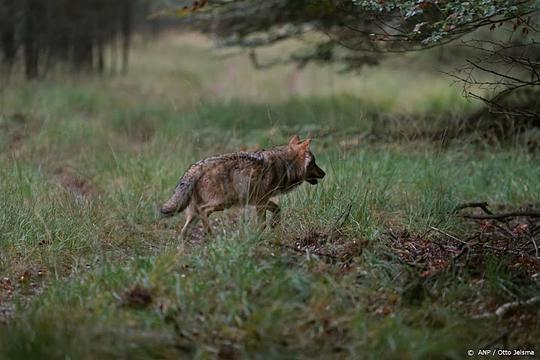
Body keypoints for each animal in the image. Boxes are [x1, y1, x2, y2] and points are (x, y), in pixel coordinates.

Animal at [160, 136, 326, 239]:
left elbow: (278, 210)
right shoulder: (260, 202)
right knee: (203, 211)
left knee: (183, 232)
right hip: (222, 204)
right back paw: (211, 235)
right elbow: (263, 222)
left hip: (196, 212)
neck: (285, 165)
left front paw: (273, 225)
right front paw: (259, 235)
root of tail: (196, 167)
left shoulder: (261, 201)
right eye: (314, 162)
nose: (324, 174)